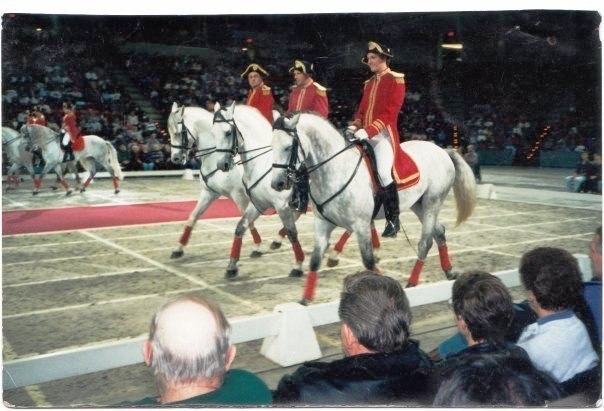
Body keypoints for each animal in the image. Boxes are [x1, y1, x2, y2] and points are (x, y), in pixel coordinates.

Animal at [167, 102, 266, 260]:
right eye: (169, 132)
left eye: (178, 132)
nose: (175, 158)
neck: (214, 158)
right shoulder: (209, 193)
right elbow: (193, 217)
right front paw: (178, 248)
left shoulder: (239, 196)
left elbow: (248, 221)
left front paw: (257, 246)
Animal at [213, 102, 306, 279]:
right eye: (213, 131)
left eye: (228, 133)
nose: (222, 164)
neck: (260, 164)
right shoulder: (258, 204)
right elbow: (241, 226)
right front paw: (232, 266)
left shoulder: (282, 206)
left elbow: (292, 232)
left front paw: (298, 265)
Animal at [271, 112, 476, 304]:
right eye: (272, 146)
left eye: (288, 147)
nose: (277, 184)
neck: (336, 170)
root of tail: (443, 150)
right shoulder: (323, 223)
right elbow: (315, 260)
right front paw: (305, 299)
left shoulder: (361, 224)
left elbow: (369, 261)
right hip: (419, 205)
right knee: (439, 233)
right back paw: (449, 271)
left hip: (432, 203)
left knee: (425, 242)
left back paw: (412, 281)